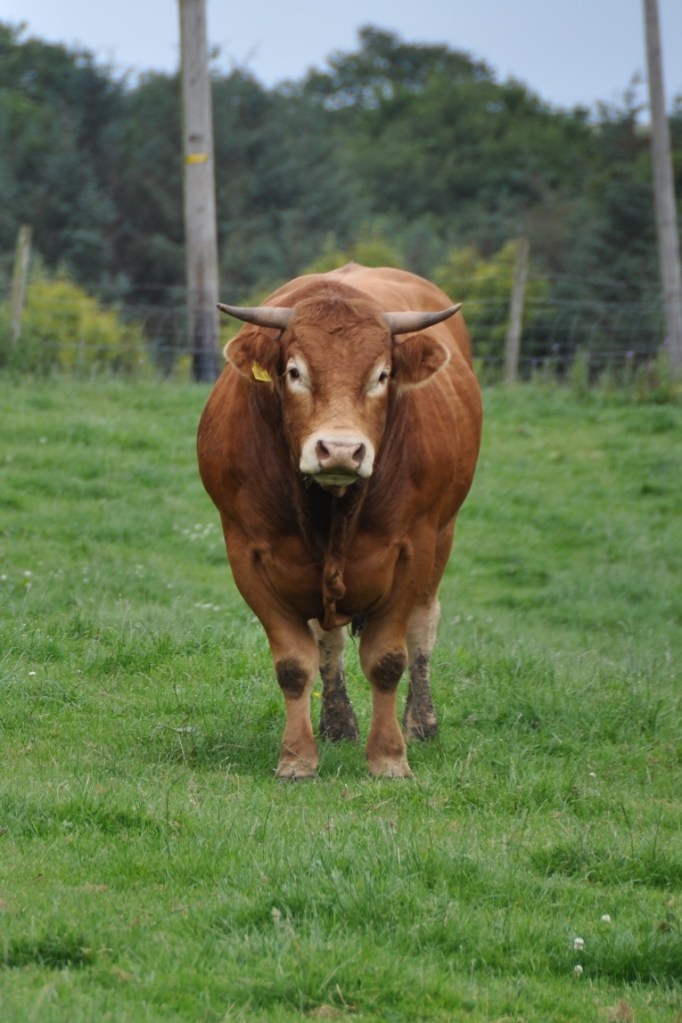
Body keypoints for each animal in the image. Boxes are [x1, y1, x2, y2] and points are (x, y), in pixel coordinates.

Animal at [197, 264, 482, 779]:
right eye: (294, 372)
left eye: (382, 375)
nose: (342, 451)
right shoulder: (246, 553)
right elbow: (295, 662)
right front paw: (297, 758)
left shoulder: (412, 548)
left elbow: (388, 659)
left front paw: (389, 758)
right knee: (327, 640)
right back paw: (337, 723)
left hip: (443, 535)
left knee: (422, 628)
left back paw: (422, 724)